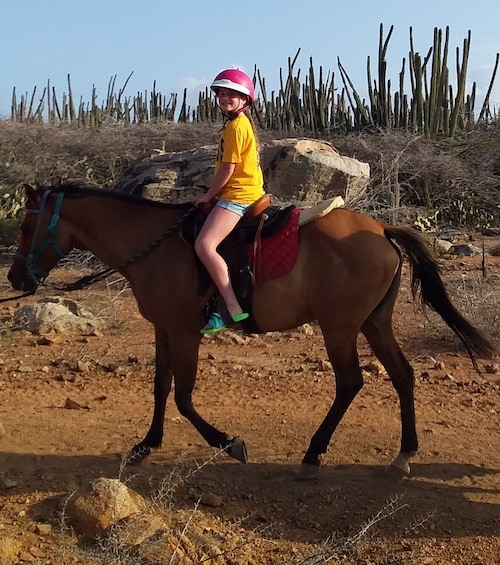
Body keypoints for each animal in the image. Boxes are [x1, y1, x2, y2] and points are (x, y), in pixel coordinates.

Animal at [7, 183, 496, 478]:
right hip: (373, 323)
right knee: (402, 375)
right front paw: (146, 445)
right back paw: (403, 454)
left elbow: (183, 397)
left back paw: (314, 453)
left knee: (350, 382)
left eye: (27, 225)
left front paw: (228, 443)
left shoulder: (184, 332)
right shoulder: (164, 330)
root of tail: (381, 228)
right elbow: (161, 388)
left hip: (339, 327)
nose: (15, 279)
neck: (153, 247)